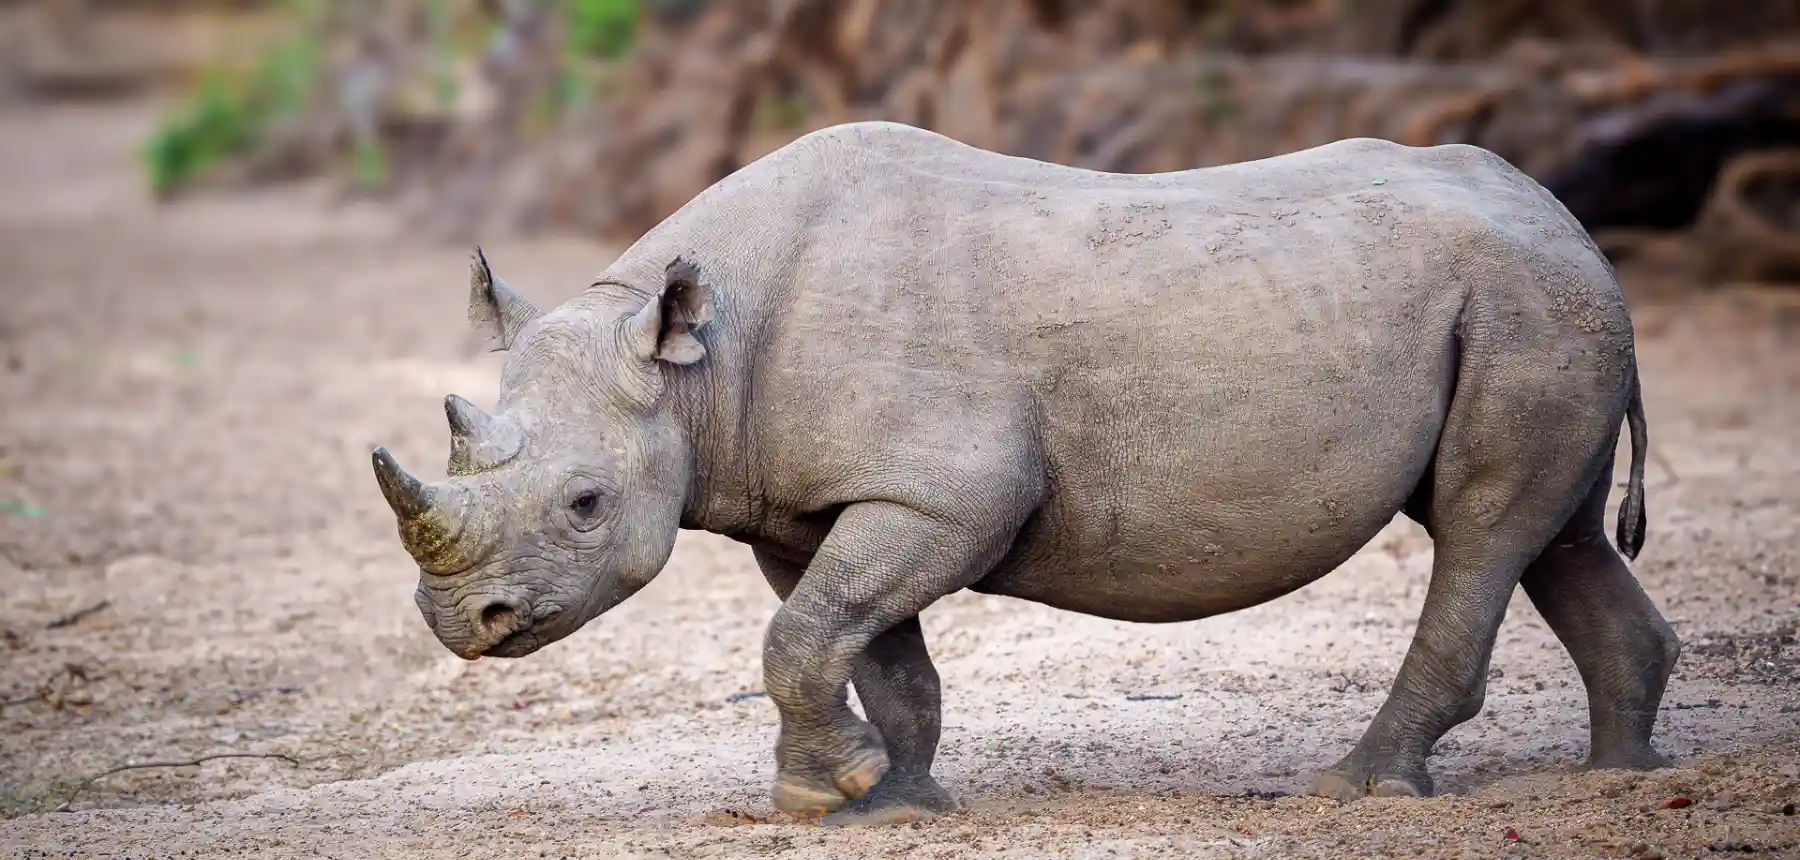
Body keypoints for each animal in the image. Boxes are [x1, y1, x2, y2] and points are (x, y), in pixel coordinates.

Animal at [371, 122, 1677, 825]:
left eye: (586, 505)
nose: (463, 623)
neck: (691, 364)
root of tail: (1570, 221)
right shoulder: (815, 506)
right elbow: (861, 644)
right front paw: (891, 796)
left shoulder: (951, 488)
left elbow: (804, 636)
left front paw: (825, 796)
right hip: (1537, 302)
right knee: (1553, 534)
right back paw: (1619, 776)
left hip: (1526, 304)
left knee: (1482, 526)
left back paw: (1356, 788)